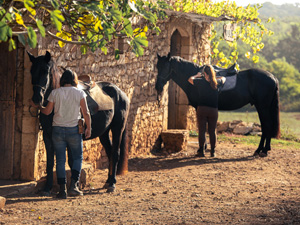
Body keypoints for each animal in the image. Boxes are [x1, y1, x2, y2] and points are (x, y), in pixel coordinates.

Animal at [26, 50, 128, 192]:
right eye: (31, 71)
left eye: (45, 70)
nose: (37, 98)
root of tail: (120, 92)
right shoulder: (48, 136)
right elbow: (50, 162)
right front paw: (47, 187)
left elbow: (71, 162)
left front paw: (74, 186)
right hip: (104, 133)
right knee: (109, 152)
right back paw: (107, 181)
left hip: (118, 128)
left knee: (115, 153)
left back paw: (112, 183)